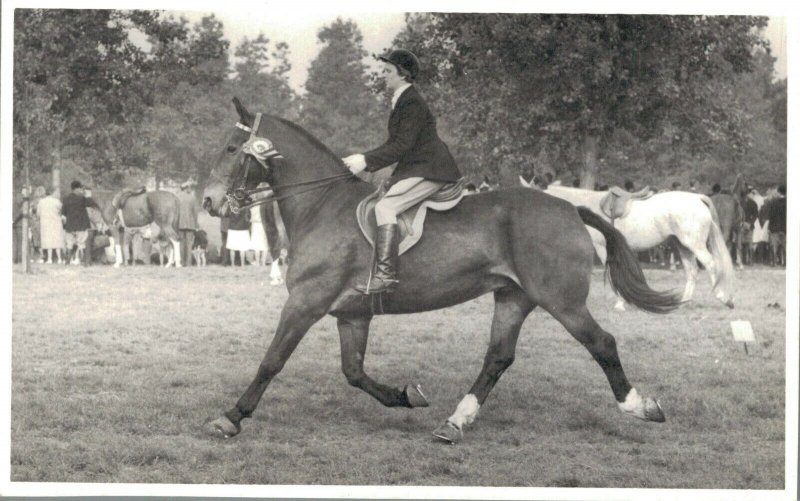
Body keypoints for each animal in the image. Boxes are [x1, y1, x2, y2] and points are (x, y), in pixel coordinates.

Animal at [202, 99, 680, 444]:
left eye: (231, 149)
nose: (208, 201)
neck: (322, 206)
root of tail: (569, 207)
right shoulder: (352, 314)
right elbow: (354, 372)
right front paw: (405, 396)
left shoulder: (305, 302)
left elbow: (272, 360)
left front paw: (231, 417)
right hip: (513, 297)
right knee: (498, 357)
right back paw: (455, 423)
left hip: (561, 299)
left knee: (602, 343)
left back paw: (640, 406)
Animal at [540, 185, 736, 306]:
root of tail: (697, 198)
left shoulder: (602, 248)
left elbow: (611, 273)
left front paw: (620, 302)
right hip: (684, 247)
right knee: (692, 271)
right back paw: (684, 302)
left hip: (694, 245)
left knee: (711, 265)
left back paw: (721, 296)